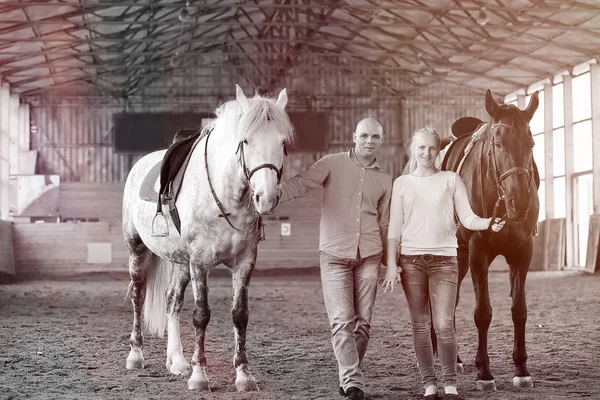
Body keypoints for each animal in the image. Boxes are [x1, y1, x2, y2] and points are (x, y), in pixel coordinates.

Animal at [120, 84, 294, 390]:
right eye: (245, 141)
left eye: (283, 143)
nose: (266, 197)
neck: (228, 198)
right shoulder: (200, 263)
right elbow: (201, 315)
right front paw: (199, 375)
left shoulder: (244, 263)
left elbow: (240, 315)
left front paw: (244, 376)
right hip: (137, 249)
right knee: (138, 296)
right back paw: (136, 356)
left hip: (180, 262)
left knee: (172, 299)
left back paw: (177, 361)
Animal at [440, 90, 540, 390]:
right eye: (498, 143)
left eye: (531, 143)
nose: (520, 202)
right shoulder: (478, 252)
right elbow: (482, 313)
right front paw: (484, 372)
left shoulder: (523, 252)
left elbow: (519, 310)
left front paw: (521, 369)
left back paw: (454, 359)